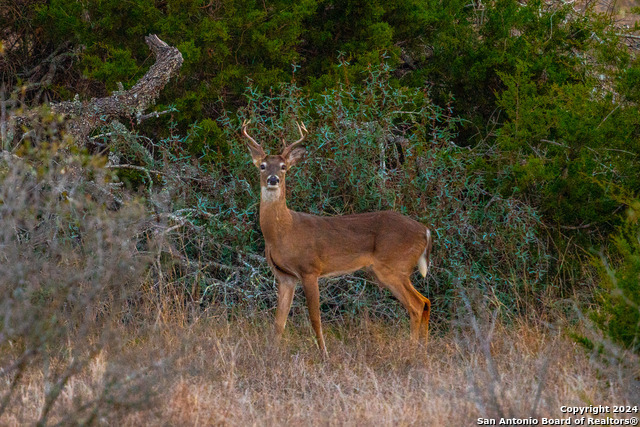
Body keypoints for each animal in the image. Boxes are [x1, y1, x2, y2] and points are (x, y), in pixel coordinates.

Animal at [242, 120, 432, 358]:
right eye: (263, 166)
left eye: (284, 167)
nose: (273, 179)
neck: (283, 231)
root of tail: (425, 231)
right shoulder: (285, 276)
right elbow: (279, 321)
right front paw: (271, 353)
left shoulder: (310, 269)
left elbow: (315, 318)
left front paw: (324, 354)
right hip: (392, 270)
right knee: (425, 301)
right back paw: (422, 351)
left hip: (394, 266)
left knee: (416, 305)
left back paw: (410, 352)